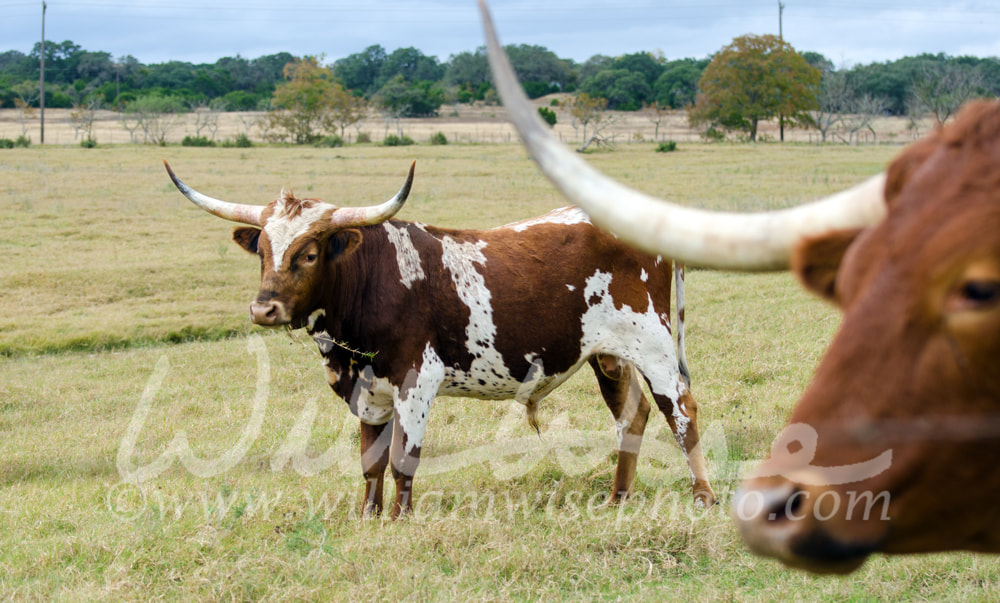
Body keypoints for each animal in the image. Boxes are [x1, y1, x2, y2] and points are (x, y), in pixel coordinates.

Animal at [480, 0, 1000, 576]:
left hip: (651, 342)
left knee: (677, 407)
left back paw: (700, 496)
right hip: (612, 354)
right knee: (635, 412)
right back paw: (621, 497)